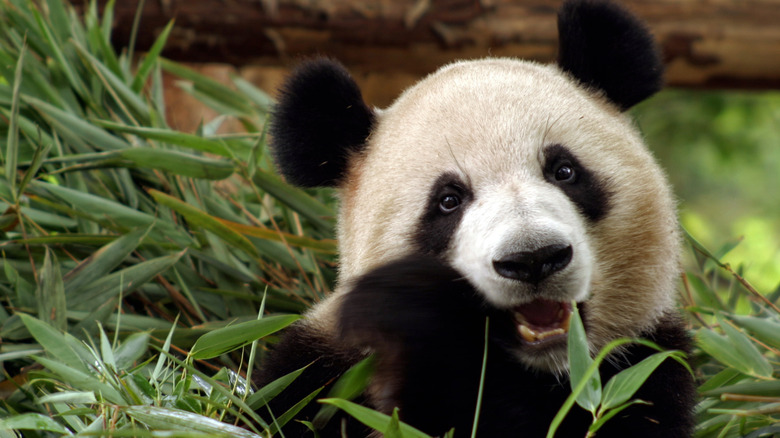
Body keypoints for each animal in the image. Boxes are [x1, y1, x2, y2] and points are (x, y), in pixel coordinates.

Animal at [258, 0, 696, 436]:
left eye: (564, 171)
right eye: (448, 200)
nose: (533, 258)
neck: (543, 370)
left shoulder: (645, 365)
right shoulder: (320, 372)